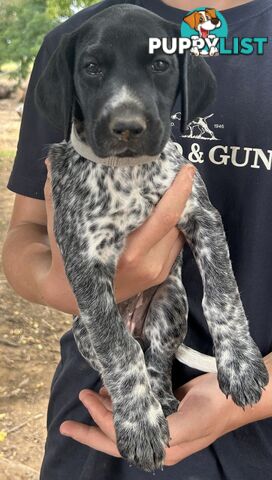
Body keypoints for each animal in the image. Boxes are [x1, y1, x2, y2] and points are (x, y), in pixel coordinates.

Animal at [35, 1, 268, 472]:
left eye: (160, 65)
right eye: (91, 68)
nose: (127, 126)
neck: (128, 174)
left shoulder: (201, 215)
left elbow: (223, 295)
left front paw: (240, 363)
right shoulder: (85, 260)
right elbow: (118, 350)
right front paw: (138, 422)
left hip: (170, 303)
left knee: (157, 360)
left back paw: (163, 397)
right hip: (84, 328)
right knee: (127, 351)